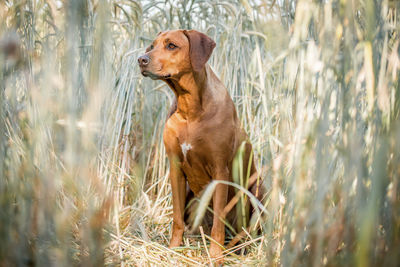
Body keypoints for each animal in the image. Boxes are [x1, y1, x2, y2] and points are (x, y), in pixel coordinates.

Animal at [138, 29, 262, 264]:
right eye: (151, 46)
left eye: (171, 45)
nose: (141, 59)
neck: (190, 109)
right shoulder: (175, 168)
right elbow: (177, 217)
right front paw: (173, 249)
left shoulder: (220, 171)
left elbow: (218, 226)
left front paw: (215, 257)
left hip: (256, 191)